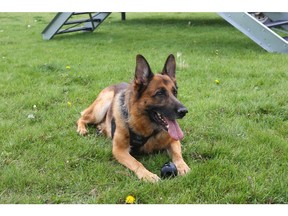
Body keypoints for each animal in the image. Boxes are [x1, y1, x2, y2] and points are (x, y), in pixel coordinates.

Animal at [76, 54, 190, 182]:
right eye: (160, 93)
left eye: (175, 92)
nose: (184, 111)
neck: (146, 128)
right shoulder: (119, 150)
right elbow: (136, 162)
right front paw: (147, 175)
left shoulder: (174, 140)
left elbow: (177, 154)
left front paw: (183, 166)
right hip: (100, 108)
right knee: (81, 118)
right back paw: (82, 129)